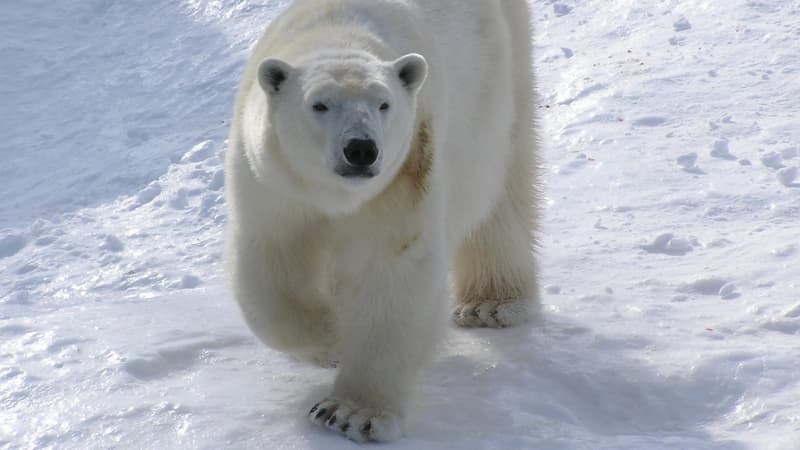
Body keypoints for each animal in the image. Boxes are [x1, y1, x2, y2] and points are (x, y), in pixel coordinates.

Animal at [222, 0, 540, 442]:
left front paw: (350, 413)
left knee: (499, 187)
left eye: (383, 103)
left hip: (497, 81)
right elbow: (272, 269)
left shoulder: (405, 173)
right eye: (319, 104)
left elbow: (390, 272)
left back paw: (491, 305)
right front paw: (331, 340)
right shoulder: (272, 187)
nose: (361, 149)